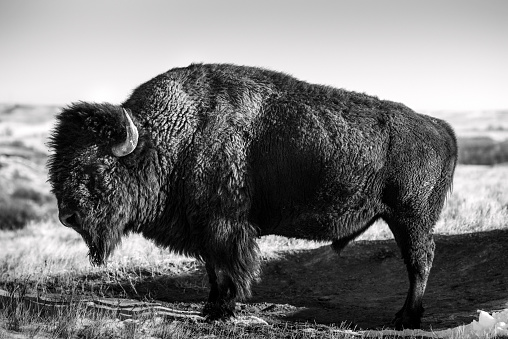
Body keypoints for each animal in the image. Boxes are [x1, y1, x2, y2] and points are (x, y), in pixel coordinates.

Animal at [49, 63, 458, 330]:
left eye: (93, 166)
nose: (67, 216)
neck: (171, 138)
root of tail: (440, 127)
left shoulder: (225, 228)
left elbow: (229, 269)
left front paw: (224, 310)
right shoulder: (206, 230)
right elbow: (213, 270)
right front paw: (211, 308)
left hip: (410, 218)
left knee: (419, 261)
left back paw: (406, 318)